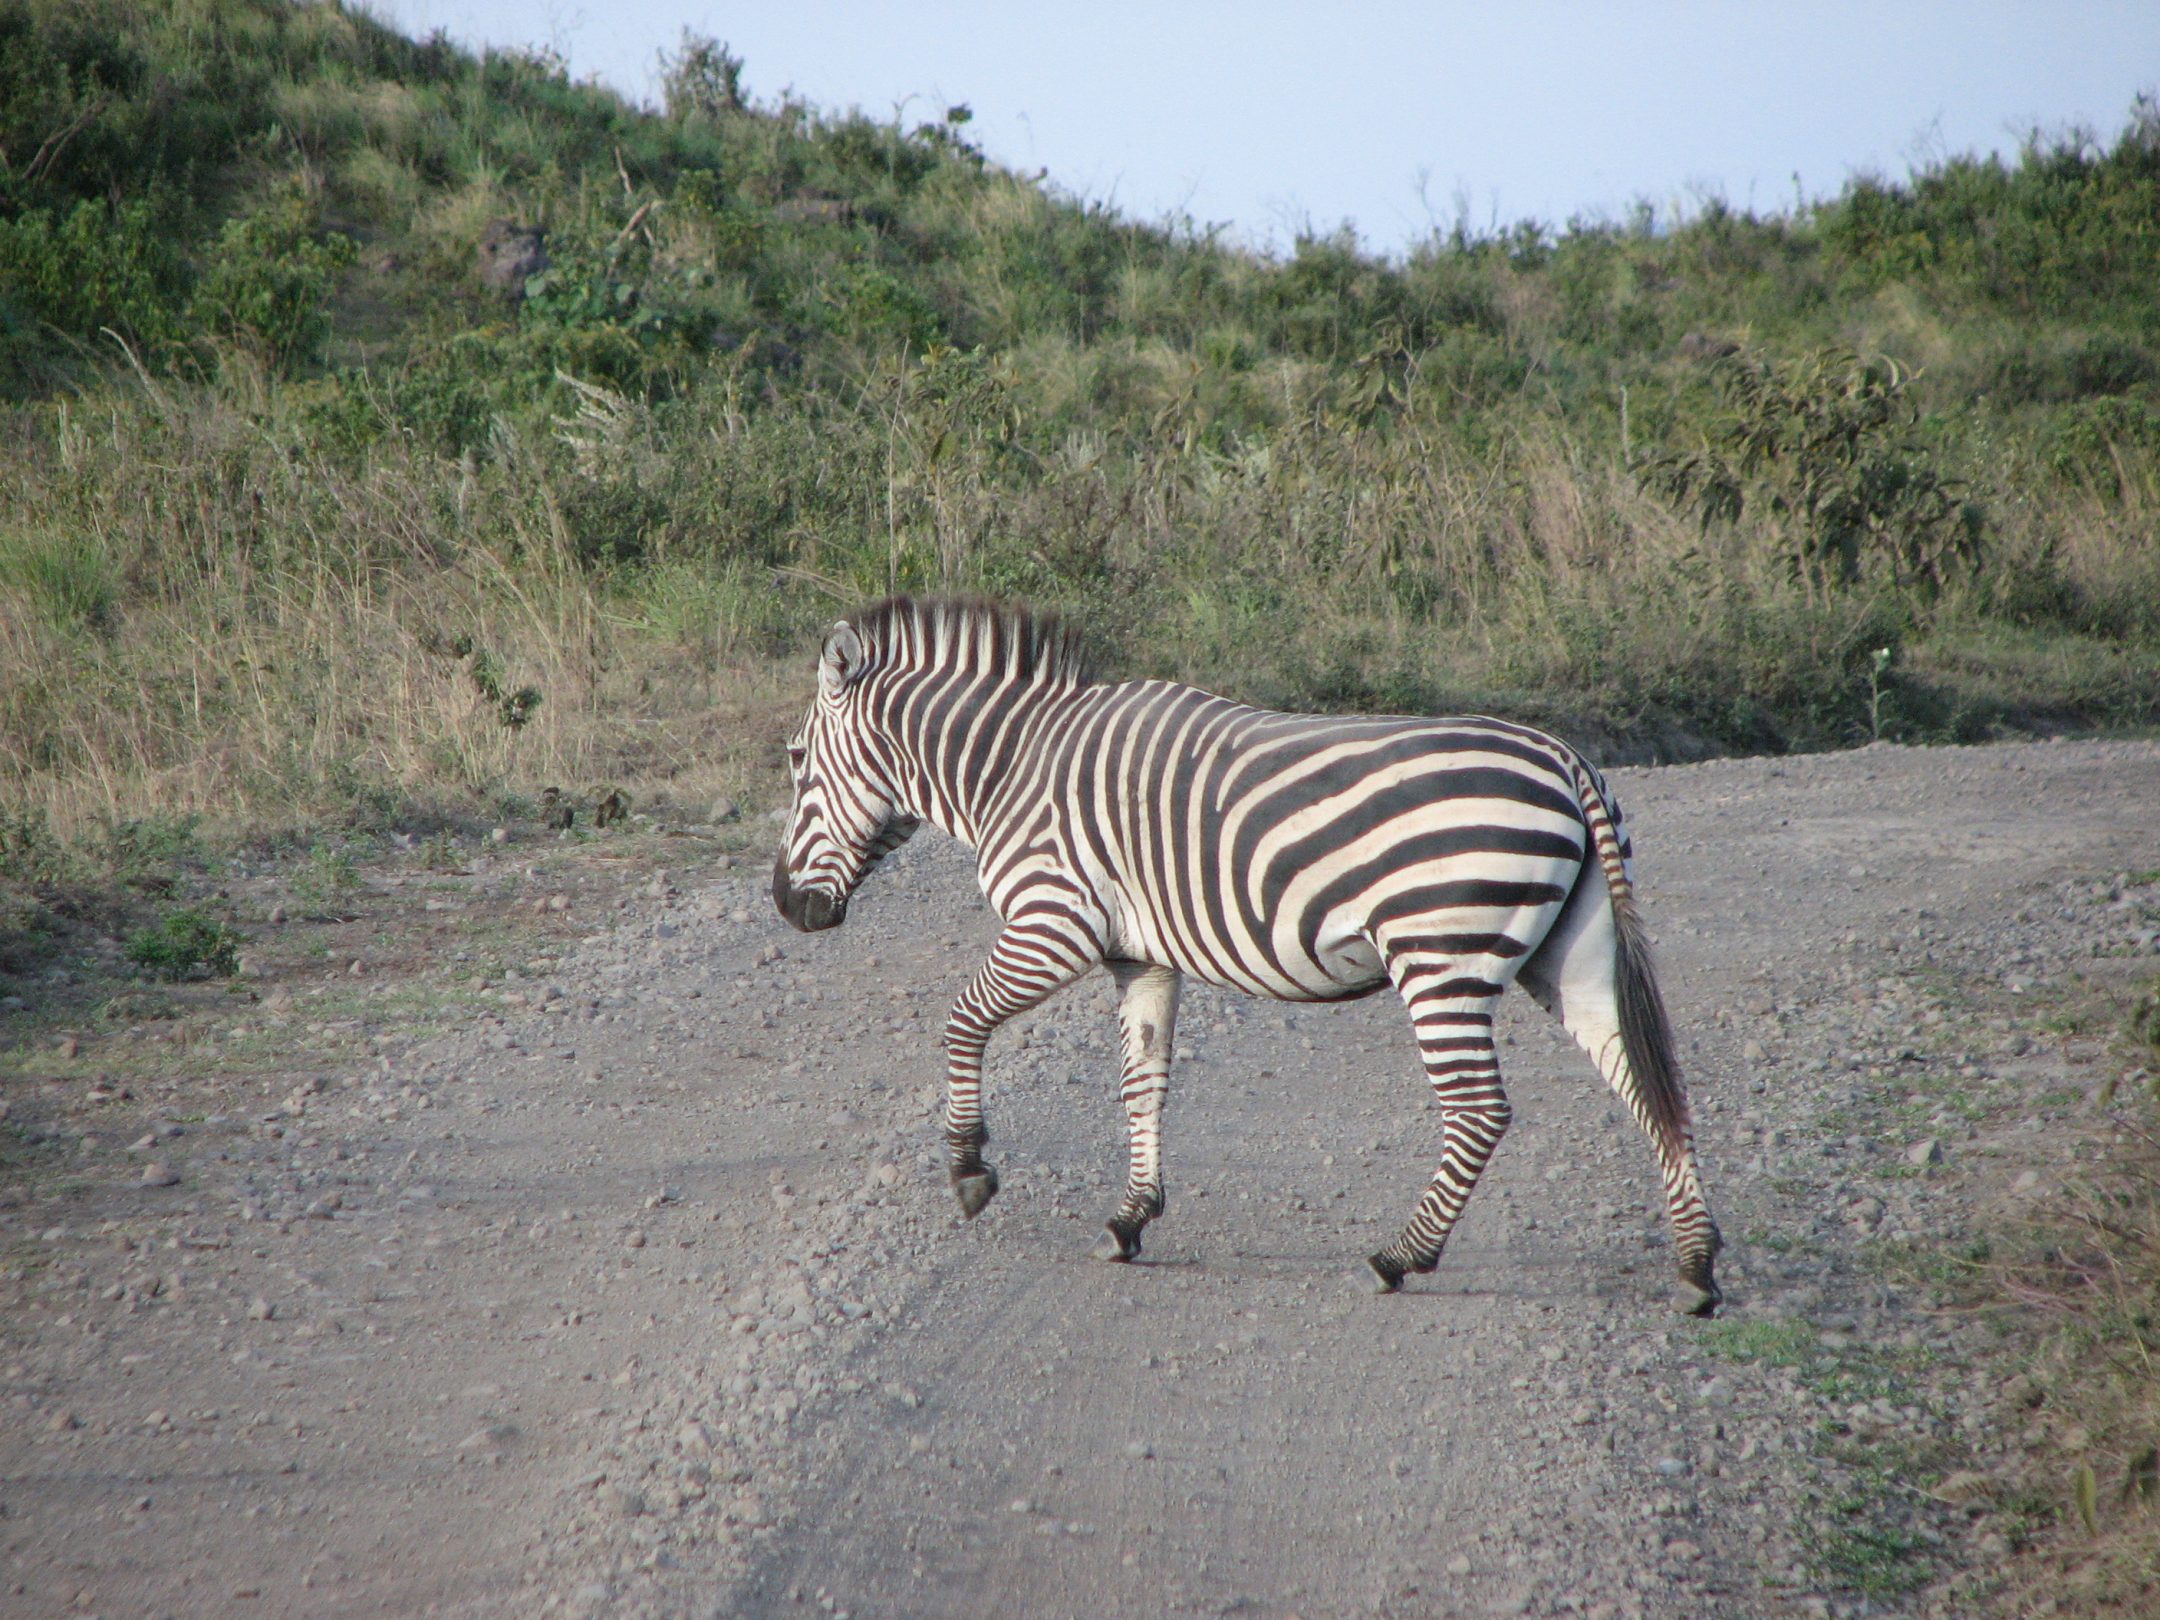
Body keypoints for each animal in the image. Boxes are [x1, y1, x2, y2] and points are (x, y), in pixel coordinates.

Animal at [777, 596, 1719, 1321]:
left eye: (793, 765)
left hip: (1438, 956)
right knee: (1650, 1088)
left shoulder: (1055, 924)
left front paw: (970, 1169)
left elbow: (962, 1021)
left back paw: (1399, 1257)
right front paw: (1132, 1218)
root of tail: (1567, 760)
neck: (1011, 766)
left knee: (1481, 1113)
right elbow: (1142, 1080)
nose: (788, 908)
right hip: (1568, 955)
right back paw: (1697, 1268)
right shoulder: (1139, 955)